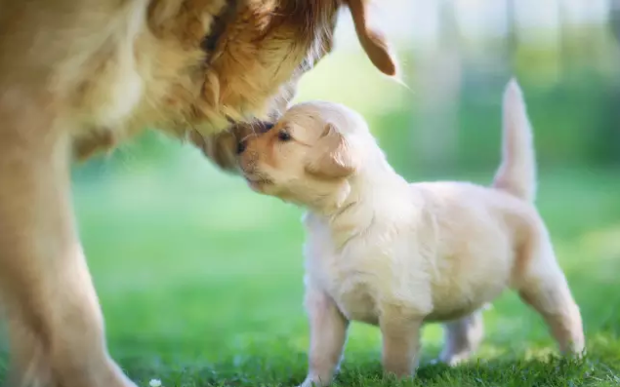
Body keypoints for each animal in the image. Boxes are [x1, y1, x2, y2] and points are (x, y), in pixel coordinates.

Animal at [236, 80, 580, 386]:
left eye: (284, 136)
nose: (238, 146)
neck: (338, 215)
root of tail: (507, 193)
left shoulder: (399, 306)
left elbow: (395, 355)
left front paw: (395, 382)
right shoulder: (323, 301)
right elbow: (321, 352)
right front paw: (313, 383)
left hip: (539, 276)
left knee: (565, 314)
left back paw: (573, 359)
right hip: (463, 285)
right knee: (467, 324)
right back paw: (451, 362)